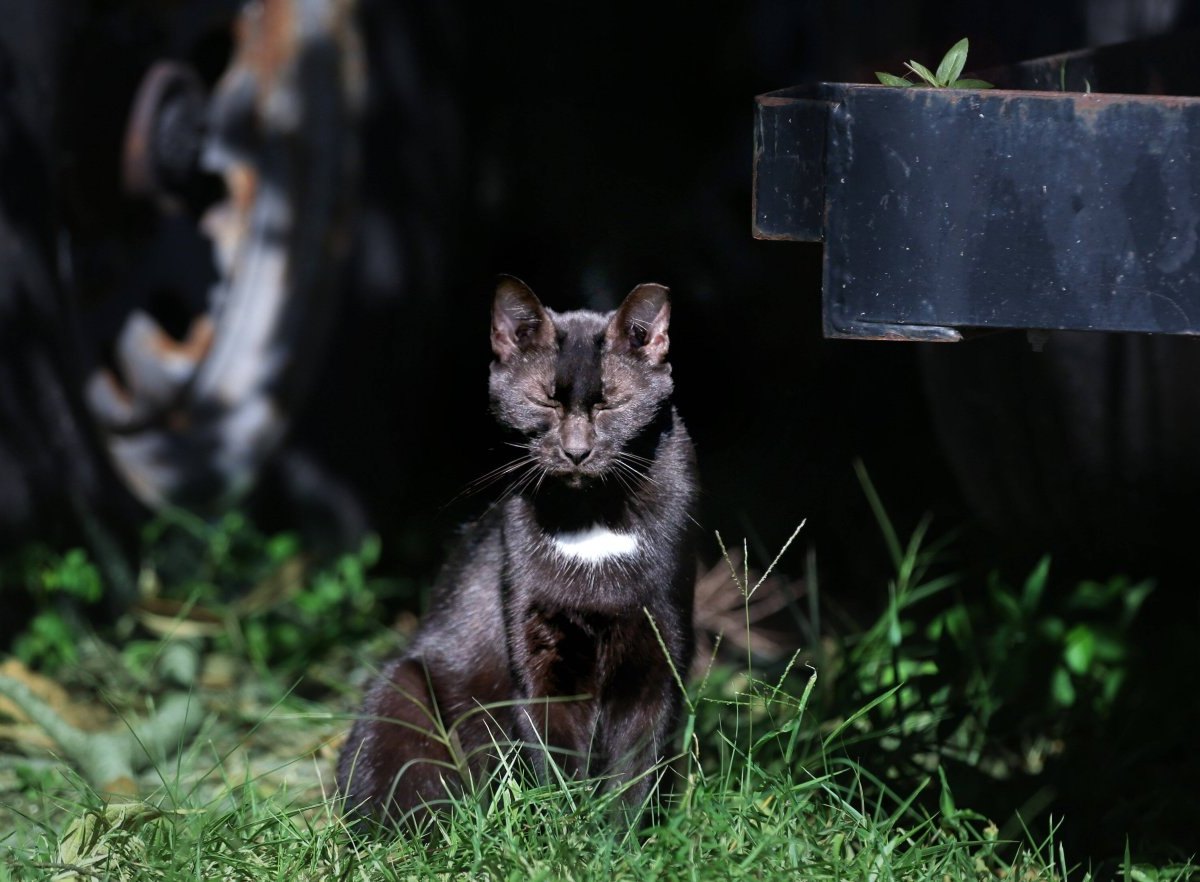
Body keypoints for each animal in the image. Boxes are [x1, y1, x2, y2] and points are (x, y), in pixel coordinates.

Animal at [333, 276, 700, 825]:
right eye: (544, 402)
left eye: (610, 404)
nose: (576, 451)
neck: (592, 520)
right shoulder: (536, 644)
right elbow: (552, 754)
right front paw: (566, 828)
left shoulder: (659, 647)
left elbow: (638, 767)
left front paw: (624, 836)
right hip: (402, 692)